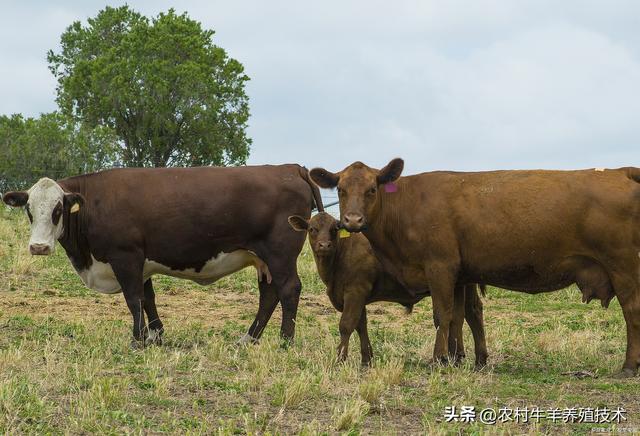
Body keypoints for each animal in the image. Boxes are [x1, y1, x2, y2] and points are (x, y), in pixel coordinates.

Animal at [3, 165, 324, 350]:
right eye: (29, 209)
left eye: (58, 209)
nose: (39, 247)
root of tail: (290, 168)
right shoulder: (141, 262)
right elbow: (148, 298)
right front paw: (155, 336)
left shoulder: (126, 257)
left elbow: (133, 298)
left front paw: (137, 340)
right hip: (263, 259)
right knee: (269, 294)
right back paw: (249, 339)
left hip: (280, 254)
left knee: (288, 290)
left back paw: (285, 341)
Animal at [288, 211, 488, 368]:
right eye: (312, 229)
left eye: (334, 229)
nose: (324, 245)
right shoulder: (359, 295)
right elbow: (361, 325)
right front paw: (367, 359)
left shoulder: (355, 291)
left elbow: (347, 324)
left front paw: (340, 359)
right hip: (464, 284)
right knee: (471, 312)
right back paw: (475, 359)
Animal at [312, 160, 640, 378]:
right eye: (340, 190)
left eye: (371, 189)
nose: (352, 220)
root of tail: (620, 171)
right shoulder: (459, 275)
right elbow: (458, 317)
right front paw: (455, 359)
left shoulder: (439, 267)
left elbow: (441, 315)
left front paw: (438, 360)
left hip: (623, 267)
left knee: (632, 310)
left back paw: (628, 367)